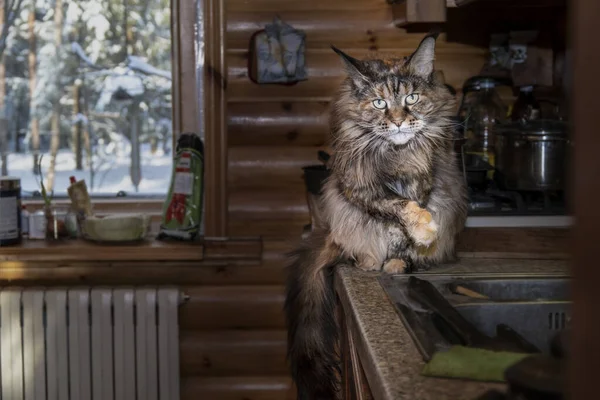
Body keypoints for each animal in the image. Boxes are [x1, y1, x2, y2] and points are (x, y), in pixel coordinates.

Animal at [284, 34, 468, 400]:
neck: (397, 155)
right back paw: (368, 261)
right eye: (380, 103)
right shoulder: (359, 190)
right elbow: (395, 211)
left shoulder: (423, 184)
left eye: (411, 98)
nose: (397, 121)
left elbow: (404, 229)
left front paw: (403, 257)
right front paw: (418, 231)